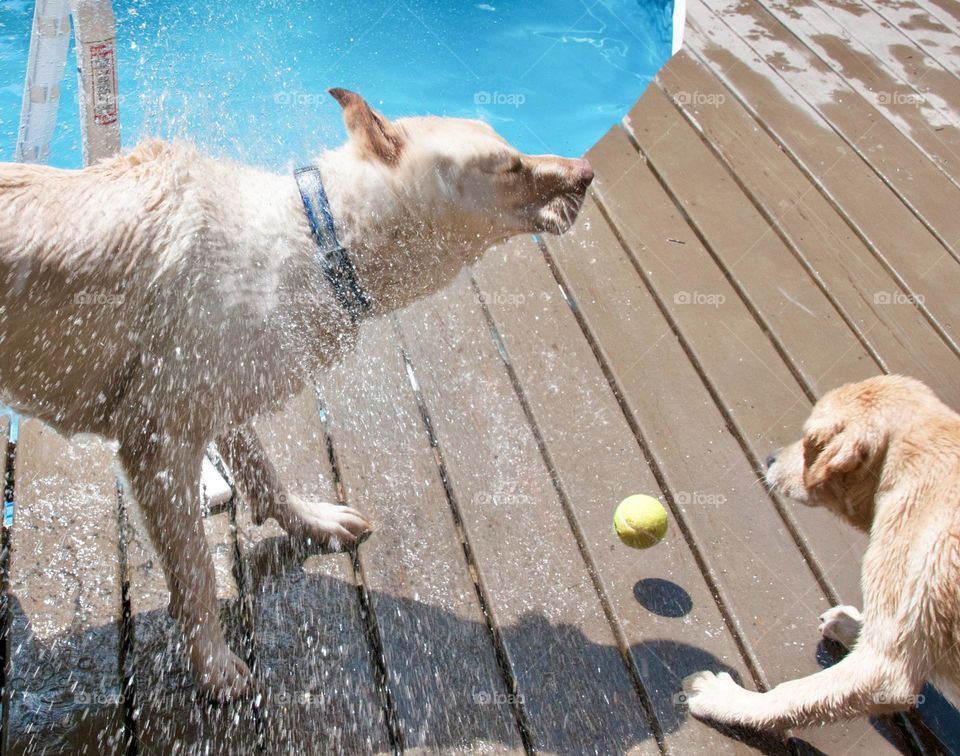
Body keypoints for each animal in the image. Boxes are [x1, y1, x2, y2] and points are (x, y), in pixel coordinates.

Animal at [688, 378, 956, 732]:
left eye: (810, 442)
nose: (770, 458)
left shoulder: (885, 672)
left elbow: (790, 694)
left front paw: (728, 700)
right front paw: (852, 626)